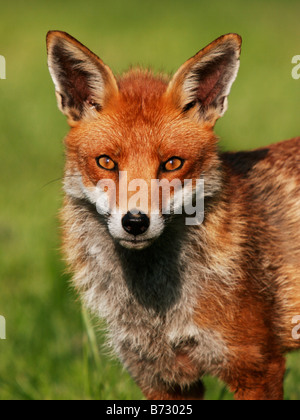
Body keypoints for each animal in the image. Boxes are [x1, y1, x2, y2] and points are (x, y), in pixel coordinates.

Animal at [46, 31, 300, 398]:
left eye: (172, 164)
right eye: (106, 162)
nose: (135, 222)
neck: (157, 310)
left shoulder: (256, 366)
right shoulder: (161, 377)